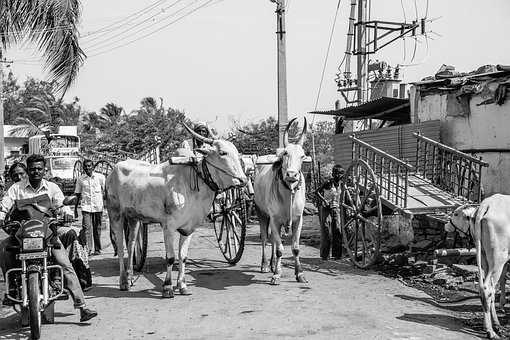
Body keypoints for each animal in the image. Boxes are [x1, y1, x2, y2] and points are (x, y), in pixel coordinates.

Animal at [106, 125, 247, 298]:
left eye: (237, 152)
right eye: (222, 153)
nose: (243, 180)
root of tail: (114, 170)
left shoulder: (189, 228)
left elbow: (183, 257)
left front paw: (182, 285)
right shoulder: (168, 226)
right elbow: (171, 258)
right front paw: (167, 287)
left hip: (134, 218)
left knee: (131, 244)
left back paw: (130, 276)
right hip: (115, 214)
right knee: (120, 247)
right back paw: (123, 281)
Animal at [254, 118, 306, 286]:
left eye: (303, 156)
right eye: (285, 153)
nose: (291, 175)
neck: (289, 193)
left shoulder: (298, 220)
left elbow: (295, 248)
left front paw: (299, 274)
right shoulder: (274, 219)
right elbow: (279, 249)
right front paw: (276, 275)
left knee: (274, 240)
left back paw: (272, 264)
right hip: (261, 213)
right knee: (265, 238)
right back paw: (265, 265)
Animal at [444, 195, 510, 338]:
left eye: (456, 214)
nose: (446, 225)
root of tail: (486, 205)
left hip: (486, 258)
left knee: (489, 288)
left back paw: (495, 325)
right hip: (498, 258)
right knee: (487, 289)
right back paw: (490, 331)